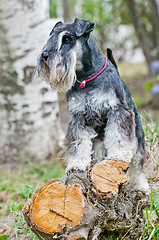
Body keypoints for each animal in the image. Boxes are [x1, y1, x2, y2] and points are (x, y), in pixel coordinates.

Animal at [37, 18, 149, 191]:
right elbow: (80, 143)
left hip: (137, 133)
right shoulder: (79, 117)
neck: (86, 77)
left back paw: (141, 185)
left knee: (138, 161)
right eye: (52, 36)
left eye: (67, 38)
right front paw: (76, 165)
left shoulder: (118, 111)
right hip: (98, 140)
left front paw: (117, 155)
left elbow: (119, 137)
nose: (45, 56)